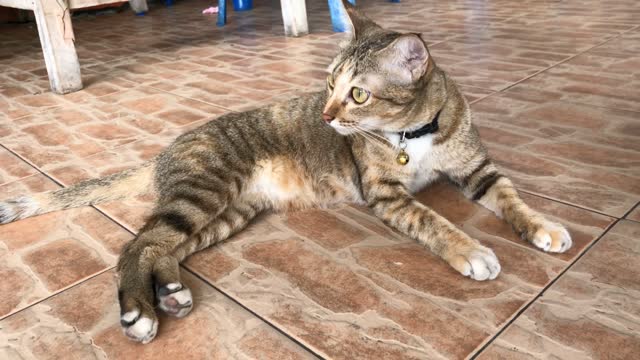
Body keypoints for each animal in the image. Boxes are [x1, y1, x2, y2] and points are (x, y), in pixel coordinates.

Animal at [0, 0, 568, 344]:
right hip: (203, 191)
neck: (415, 134)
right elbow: (434, 221)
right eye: (329, 84)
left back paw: (169, 293)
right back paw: (139, 311)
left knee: (163, 246)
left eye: (357, 93)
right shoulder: (386, 195)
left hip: (226, 213)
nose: (327, 115)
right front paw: (471, 251)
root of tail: (165, 151)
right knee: (136, 246)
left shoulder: (478, 169)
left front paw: (543, 227)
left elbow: (512, 198)